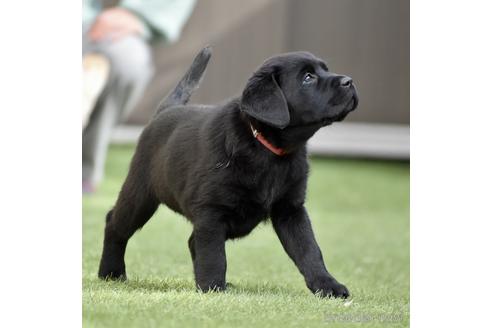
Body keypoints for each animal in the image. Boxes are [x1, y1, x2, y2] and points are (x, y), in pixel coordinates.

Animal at [99, 47, 358, 298]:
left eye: (325, 69)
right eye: (308, 78)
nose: (350, 81)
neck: (267, 148)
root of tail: (164, 112)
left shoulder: (290, 210)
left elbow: (309, 250)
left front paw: (327, 285)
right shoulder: (211, 211)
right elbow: (214, 255)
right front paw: (213, 287)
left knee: (192, 241)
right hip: (140, 195)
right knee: (115, 223)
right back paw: (111, 272)